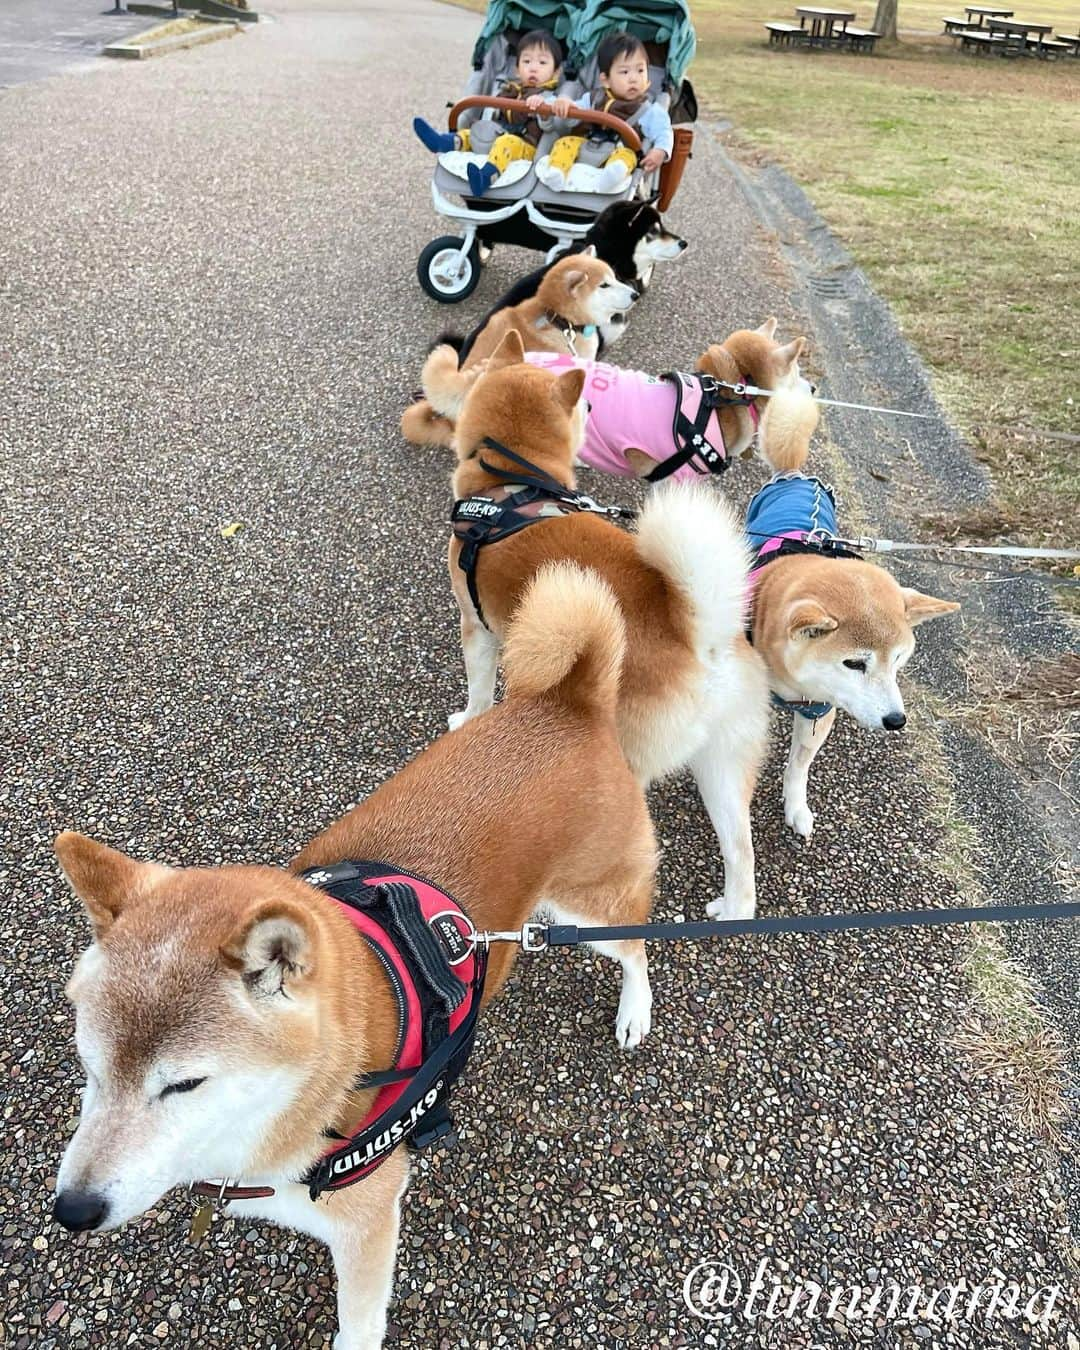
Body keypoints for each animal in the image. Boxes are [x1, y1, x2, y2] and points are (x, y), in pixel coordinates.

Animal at [52, 561, 658, 1350]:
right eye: (89, 1067)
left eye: (183, 1085)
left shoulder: (367, 1224)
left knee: (637, 945)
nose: (72, 1211)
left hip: (587, 908)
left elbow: (359, 1325)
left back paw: (635, 1012)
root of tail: (570, 700)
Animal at [445, 329, 766, 918]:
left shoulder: (477, 626)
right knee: (741, 850)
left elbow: (478, 691)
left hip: (624, 752)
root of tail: (699, 638)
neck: (511, 483)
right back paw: (732, 910)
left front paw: (467, 720)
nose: (591, 408)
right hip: (724, 763)